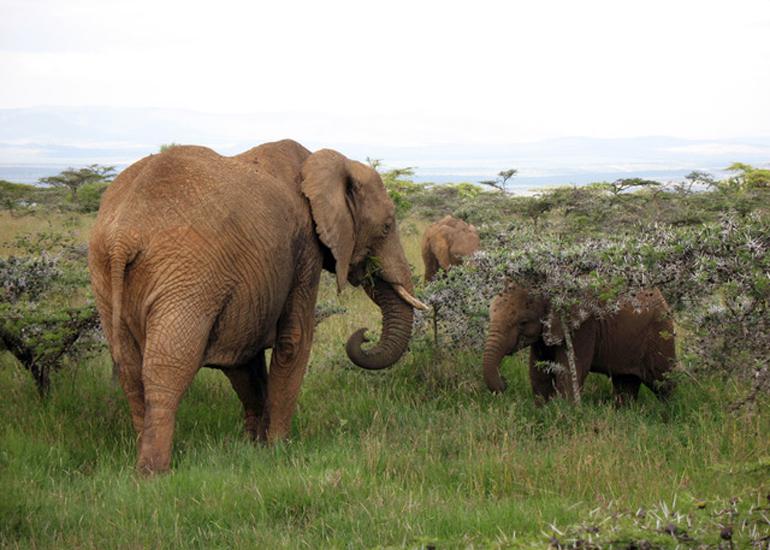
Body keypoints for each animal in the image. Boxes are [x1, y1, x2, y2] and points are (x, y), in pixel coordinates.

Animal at [91, 139, 428, 474]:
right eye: (386, 227)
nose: (364, 334)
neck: (324, 163)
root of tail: (124, 234)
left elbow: (243, 355)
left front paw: (255, 446)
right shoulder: (304, 248)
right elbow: (294, 339)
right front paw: (280, 447)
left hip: (103, 274)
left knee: (129, 369)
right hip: (185, 273)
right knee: (167, 366)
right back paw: (154, 472)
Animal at [480, 284, 672, 406]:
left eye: (523, 322)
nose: (505, 382)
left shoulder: (584, 325)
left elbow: (569, 371)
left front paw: (566, 411)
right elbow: (539, 372)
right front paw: (543, 409)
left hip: (659, 332)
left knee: (662, 382)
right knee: (625, 382)